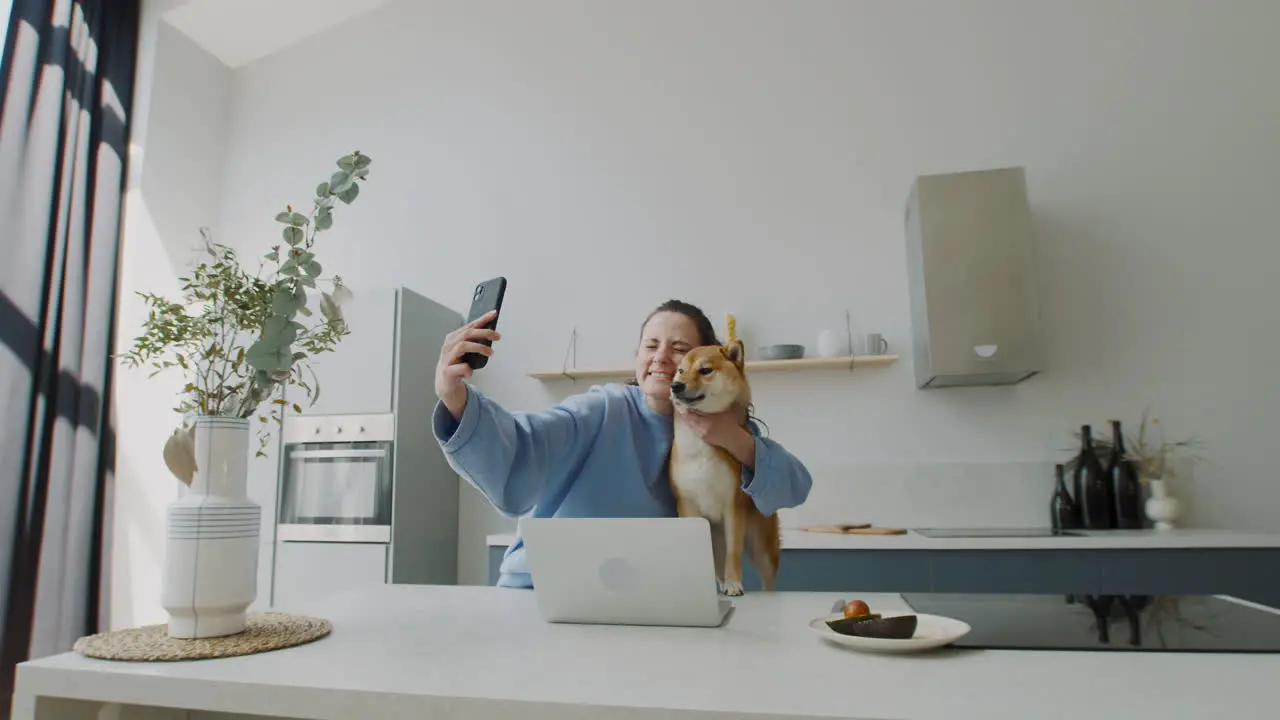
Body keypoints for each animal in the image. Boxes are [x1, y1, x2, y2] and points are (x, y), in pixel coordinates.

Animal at [670, 338, 778, 594]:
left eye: (705, 370)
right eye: (681, 370)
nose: (675, 386)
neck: (698, 446)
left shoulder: (733, 507)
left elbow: (733, 552)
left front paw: (733, 583)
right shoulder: (687, 506)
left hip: (760, 546)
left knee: (768, 579)